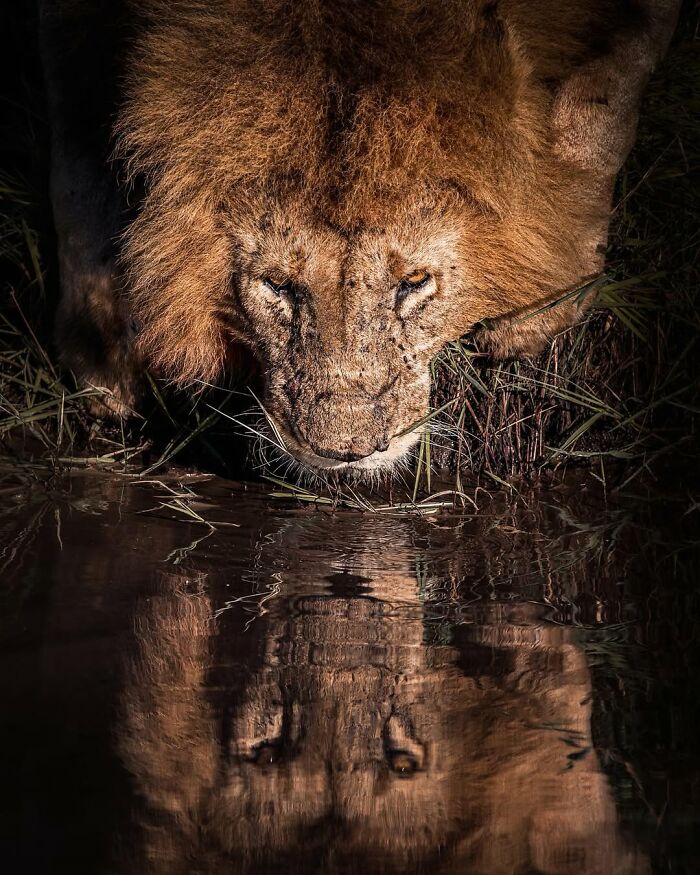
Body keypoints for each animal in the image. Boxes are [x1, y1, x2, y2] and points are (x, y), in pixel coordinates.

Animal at [40, 1, 679, 476]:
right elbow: (73, 169)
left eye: (414, 282)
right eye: (278, 285)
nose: (344, 453)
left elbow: (602, 109)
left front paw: (548, 298)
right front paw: (104, 366)